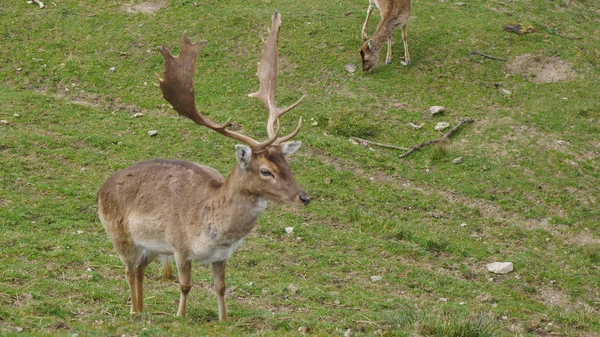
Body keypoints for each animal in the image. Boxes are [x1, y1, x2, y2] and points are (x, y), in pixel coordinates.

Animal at [96, 11, 310, 320]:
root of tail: (100, 191)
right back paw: (135, 312)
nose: (304, 197)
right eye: (265, 171)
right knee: (128, 270)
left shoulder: (222, 256)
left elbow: (220, 288)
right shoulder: (179, 245)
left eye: (288, 163)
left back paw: (141, 310)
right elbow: (185, 286)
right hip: (121, 237)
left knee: (139, 271)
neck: (214, 230)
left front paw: (223, 320)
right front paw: (180, 317)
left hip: (149, 248)